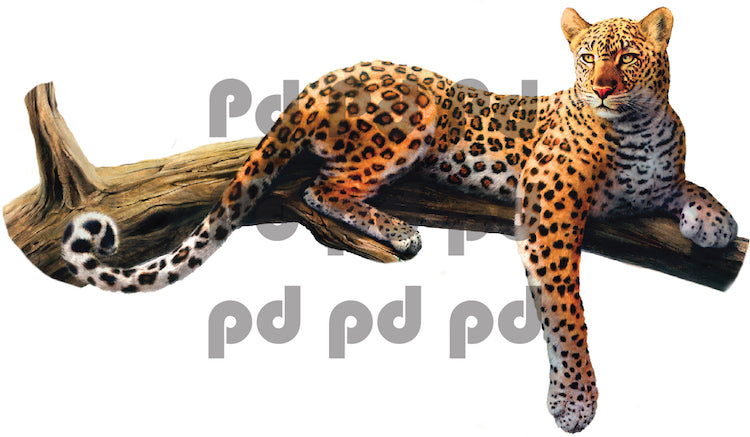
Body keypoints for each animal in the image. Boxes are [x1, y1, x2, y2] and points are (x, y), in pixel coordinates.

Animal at [60, 7, 738, 433]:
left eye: (626, 56)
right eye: (586, 57)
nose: (600, 89)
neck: (640, 126)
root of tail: (316, 82)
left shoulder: (655, 184)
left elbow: (689, 185)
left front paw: (717, 222)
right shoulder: (548, 208)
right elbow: (566, 313)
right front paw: (573, 402)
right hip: (416, 114)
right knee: (322, 186)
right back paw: (399, 232)